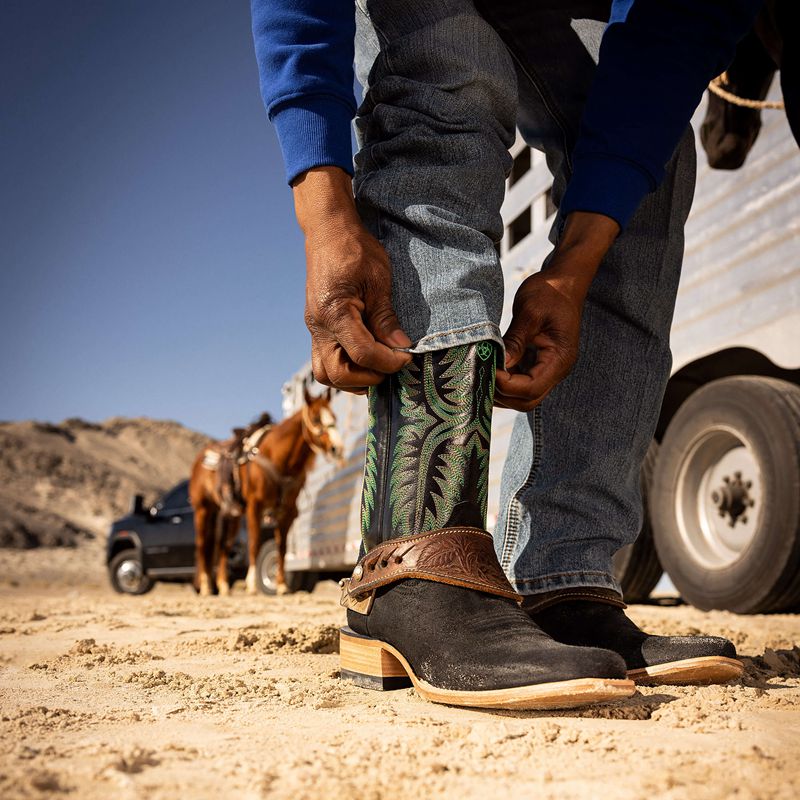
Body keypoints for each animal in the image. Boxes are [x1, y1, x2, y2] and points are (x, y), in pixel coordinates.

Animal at [192, 390, 346, 596]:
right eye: (315, 418)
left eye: (334, 417)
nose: (337, 448)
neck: (276, 458)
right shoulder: (254, 508)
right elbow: (255, 543)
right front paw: (252, 585)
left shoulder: (286, 513)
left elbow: (282, 548)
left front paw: (281, 585)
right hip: (202, 509)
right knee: (202, 546)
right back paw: (206, 586)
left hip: (230, 514)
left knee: (223, 545)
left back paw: (223, 586)